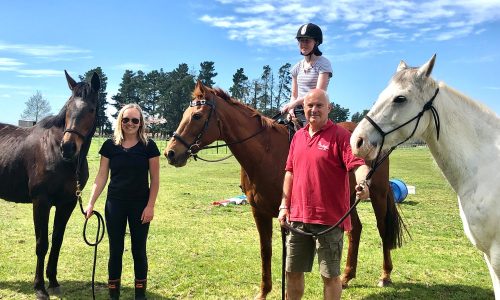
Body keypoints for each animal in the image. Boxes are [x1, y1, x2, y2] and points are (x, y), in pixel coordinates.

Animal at [0, 71, 100, 300]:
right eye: (68, 107)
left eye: (91, 109)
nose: (68, 147)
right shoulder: (41, 202)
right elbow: (42, 244)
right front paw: (39, 287)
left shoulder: (67, 204)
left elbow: (57, 241)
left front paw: (53, 281)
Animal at [166, 81, 404, 298]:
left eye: (197, 116)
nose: (170, 153)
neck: (265, 152)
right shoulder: (259, 212)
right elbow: (266, 251)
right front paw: (264, 291)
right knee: (355, 229)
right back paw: (346, 277)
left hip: (378, 193)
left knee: (383, 229)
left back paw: (385, 275)